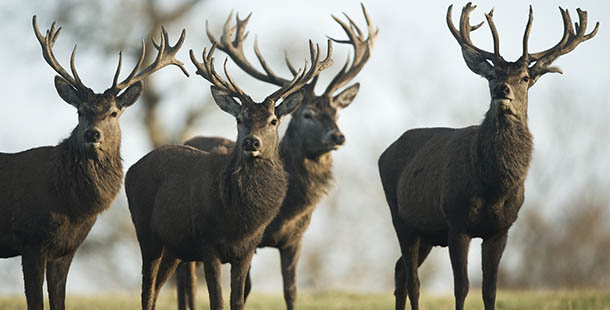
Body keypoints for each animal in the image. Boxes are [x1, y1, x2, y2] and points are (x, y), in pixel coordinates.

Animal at [0, 16, 188, 310]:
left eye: (114, 112)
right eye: (80, 111)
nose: (92, 134)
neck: (71, 205)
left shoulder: (66, 250)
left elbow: (59, 302)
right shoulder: (30, 240)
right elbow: (35, 302)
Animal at [124, 28, 332, 308]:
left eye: (273, 120)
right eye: (240, 119)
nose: (251, 142)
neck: (239, 220)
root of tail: (131, 169)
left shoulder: (247, 250)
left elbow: (238, 301)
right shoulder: (207, 243)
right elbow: (218, 302)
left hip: (174, 247)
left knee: (156, 288)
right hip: (146, 231)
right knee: (148, 290)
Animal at [175, 5, 376, 310]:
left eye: (336, 113)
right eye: (307, 114)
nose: (338, 137)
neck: (288, 210)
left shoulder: (295, 238)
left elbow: (290, 291)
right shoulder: (249, 240)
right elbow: (244, 290)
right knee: (185, 279)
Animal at [378, 3, 596, 310]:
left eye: (525, 78)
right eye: (492, 75)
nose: (502, 89)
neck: (493, 186)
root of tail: (385, 153)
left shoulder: (500, 229)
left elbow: (490, 290)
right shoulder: (456, 222)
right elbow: (462, 287)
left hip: (427, 232)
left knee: (400, 270)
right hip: (401, 217)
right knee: (413, 280)